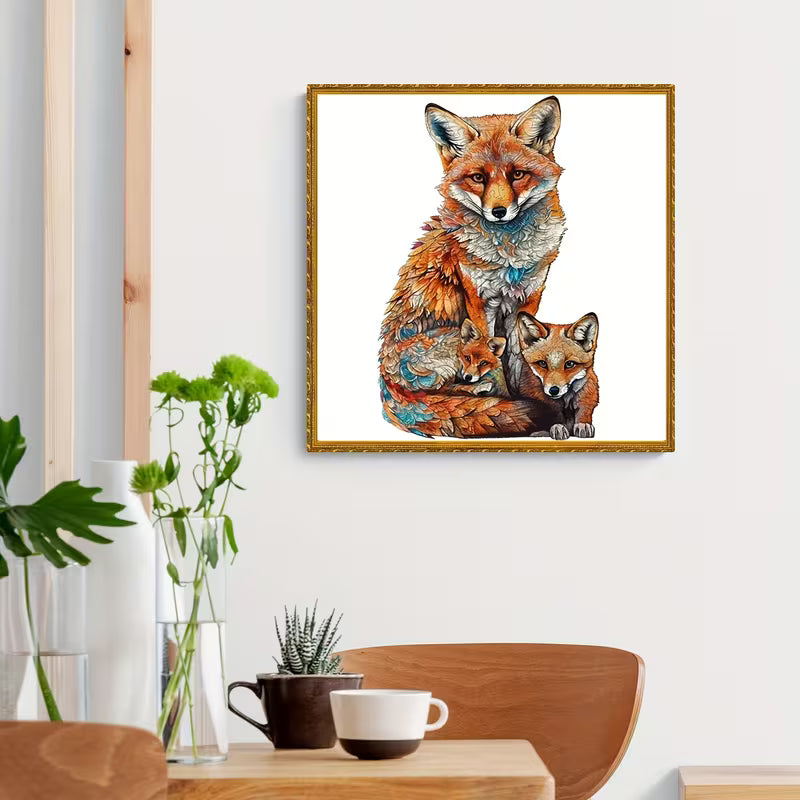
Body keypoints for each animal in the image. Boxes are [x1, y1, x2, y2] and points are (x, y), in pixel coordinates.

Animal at [379, 97, 566, 438]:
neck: (508, 256)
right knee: (435, 394)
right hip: (451, 339)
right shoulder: (479, 301)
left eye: (517, 174)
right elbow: (494, 365)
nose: (499, 211)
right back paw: (476, 393)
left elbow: (519, 358)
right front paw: (509, 401)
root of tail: (385, 381)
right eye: (478, 177)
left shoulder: (528, 297)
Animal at [517, 311, 600, 440]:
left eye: (569, 364)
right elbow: (553, 412)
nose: (554, 390)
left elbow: (584, 408)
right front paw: (557, 426)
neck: (566, 401)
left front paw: (583, 424)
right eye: (542, 363)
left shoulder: (588, 390)